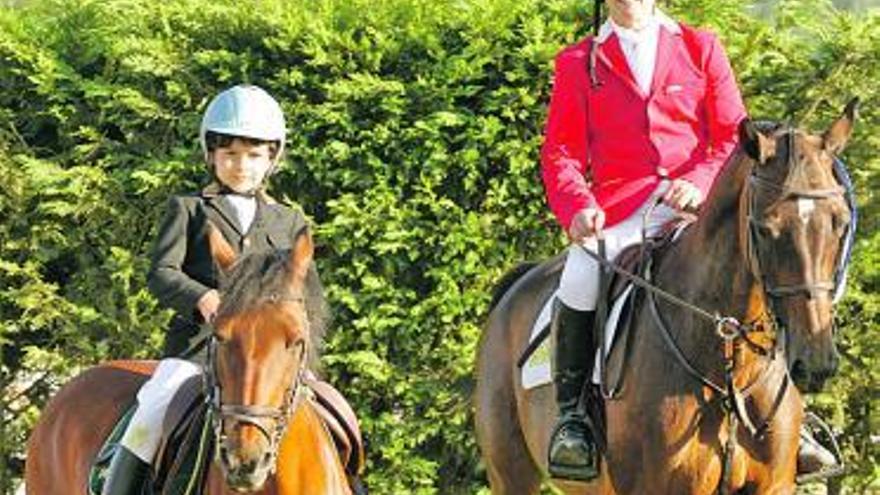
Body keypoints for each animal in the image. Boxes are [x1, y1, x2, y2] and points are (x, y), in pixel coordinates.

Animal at [478, 101, 856, 495]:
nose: (815, 364)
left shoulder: (774, 486)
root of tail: (517, 287)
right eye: (766, 228)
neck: (728, 367)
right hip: (511, 474)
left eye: (841, 222)